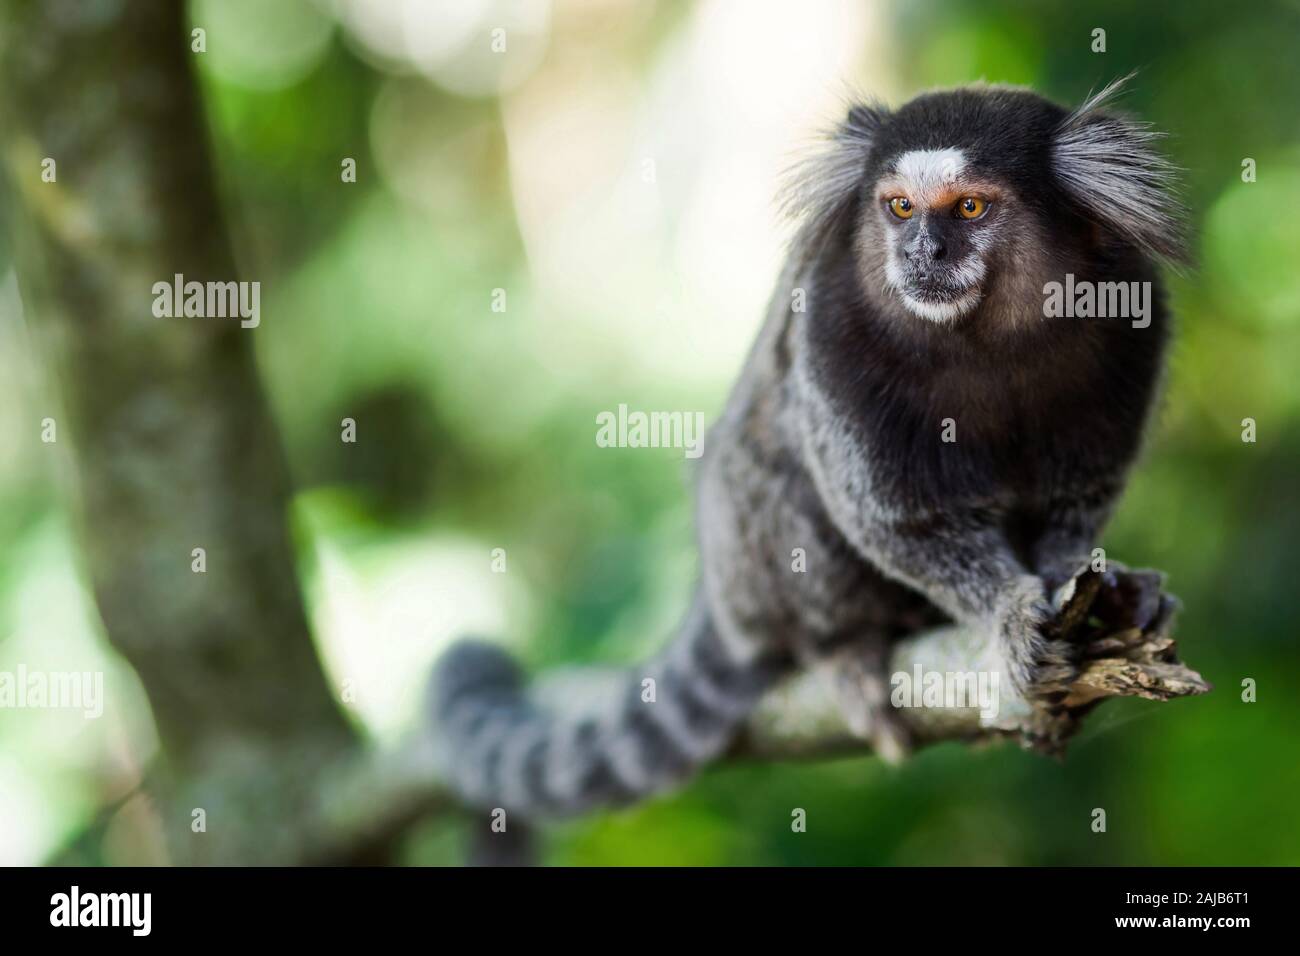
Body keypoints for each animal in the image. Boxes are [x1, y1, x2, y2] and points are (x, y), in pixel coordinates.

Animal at [431, 78, 1185, 816]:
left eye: (969, 207)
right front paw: (1006, 609)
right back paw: (841, 649)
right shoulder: (828, 324)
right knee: (778, 475)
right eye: (900, 207)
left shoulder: (1131, 314)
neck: (983, 341)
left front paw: (1089, 576)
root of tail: (718, 592)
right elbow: (896, 516)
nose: (921, 253)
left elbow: (1080, 492)